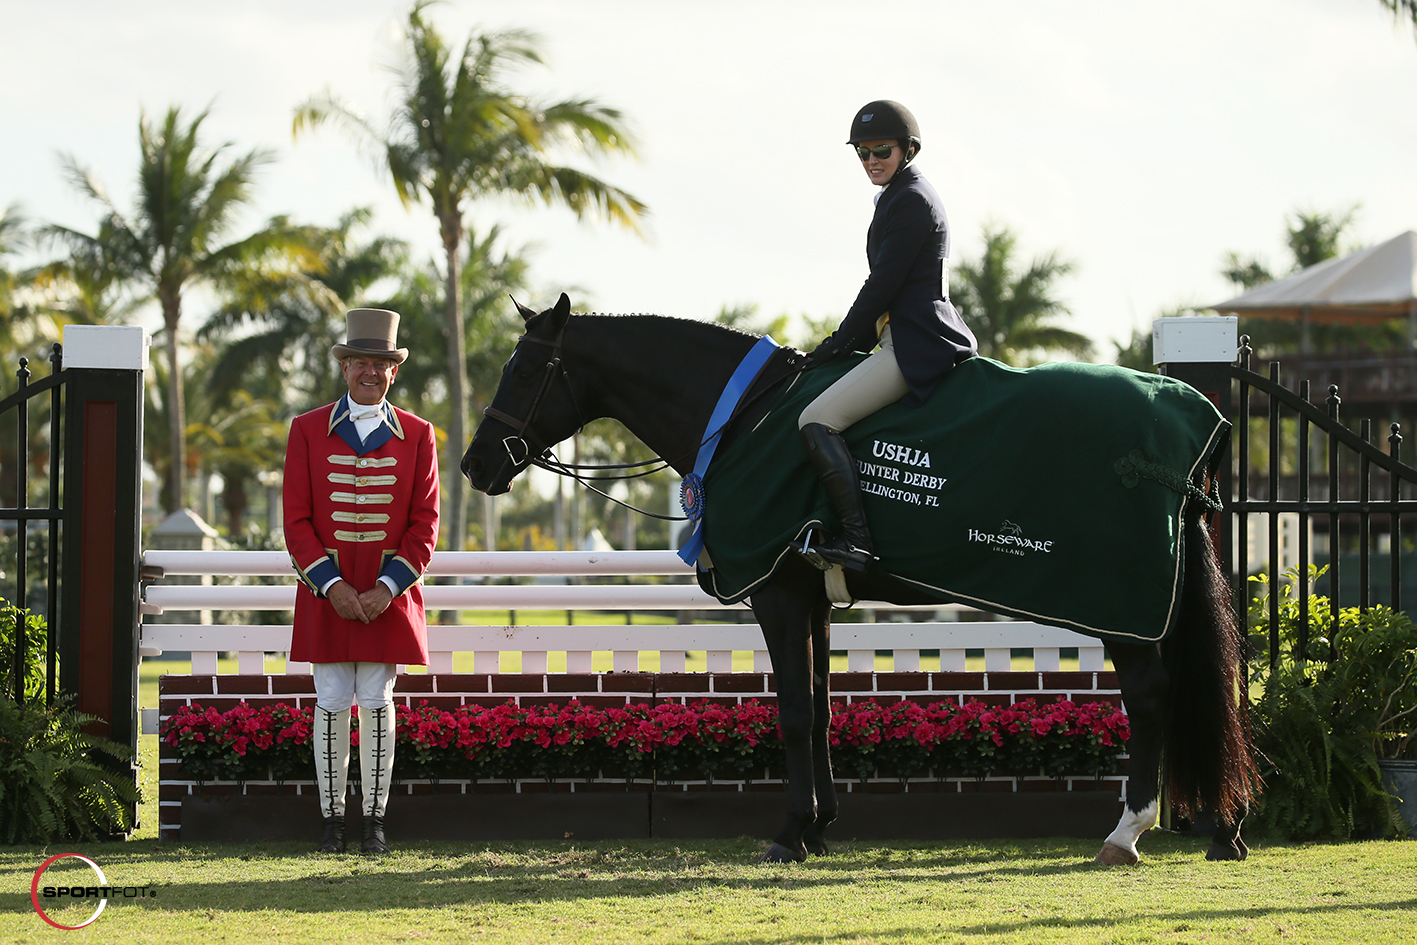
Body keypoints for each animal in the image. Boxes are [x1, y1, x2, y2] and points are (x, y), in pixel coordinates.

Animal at [459, 293, 1258, 867]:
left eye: (523, 371)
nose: (474, 464)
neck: (742, 418)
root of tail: (1195, 426)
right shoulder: (810, 599)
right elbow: (817, 707)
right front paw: (818, 827)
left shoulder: (778, 594)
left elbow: (792, 712)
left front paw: (788, 832)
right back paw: (1220, 827)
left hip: (1118, 607)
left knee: (1150, 696)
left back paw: (1128, 831)